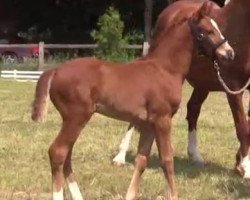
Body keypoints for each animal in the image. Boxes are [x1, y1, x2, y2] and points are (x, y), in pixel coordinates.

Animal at [32, 1, 233, 200]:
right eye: (208, 30)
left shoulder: (148, 124)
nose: (229, 53)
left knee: (67, 155)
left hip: (73, 120)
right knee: (58, 152)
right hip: (76, 118)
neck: (165, 69)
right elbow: (167, 159)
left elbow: (142, 160)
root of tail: (55, 71)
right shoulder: (163, 120)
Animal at [114, 0, 250, 179]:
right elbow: (243, 127)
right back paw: (120, 156)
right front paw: (246, 167)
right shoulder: (234, 89)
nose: (229, 54)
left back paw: (195, 155)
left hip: (202, 85)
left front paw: (239, 164)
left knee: (193, 110)